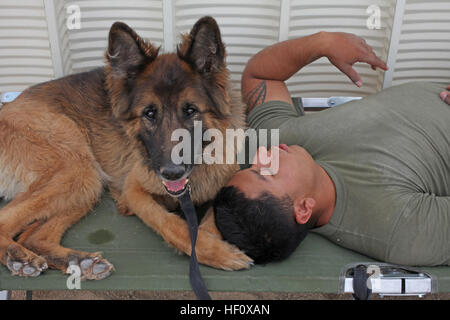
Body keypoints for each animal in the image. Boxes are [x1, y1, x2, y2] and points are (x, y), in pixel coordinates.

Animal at [0, 16, 253, 278]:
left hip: (87, 187)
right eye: (149, 113)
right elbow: (170, 223)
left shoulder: (226, 176)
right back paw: (17, 256)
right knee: (5, 220)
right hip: (79, 171)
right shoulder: (134, 191)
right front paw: (213, 251)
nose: (172, 173)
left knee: (34, 237)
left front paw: (211, 239)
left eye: (191, 110)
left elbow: (213, 213)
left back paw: (80, 261)